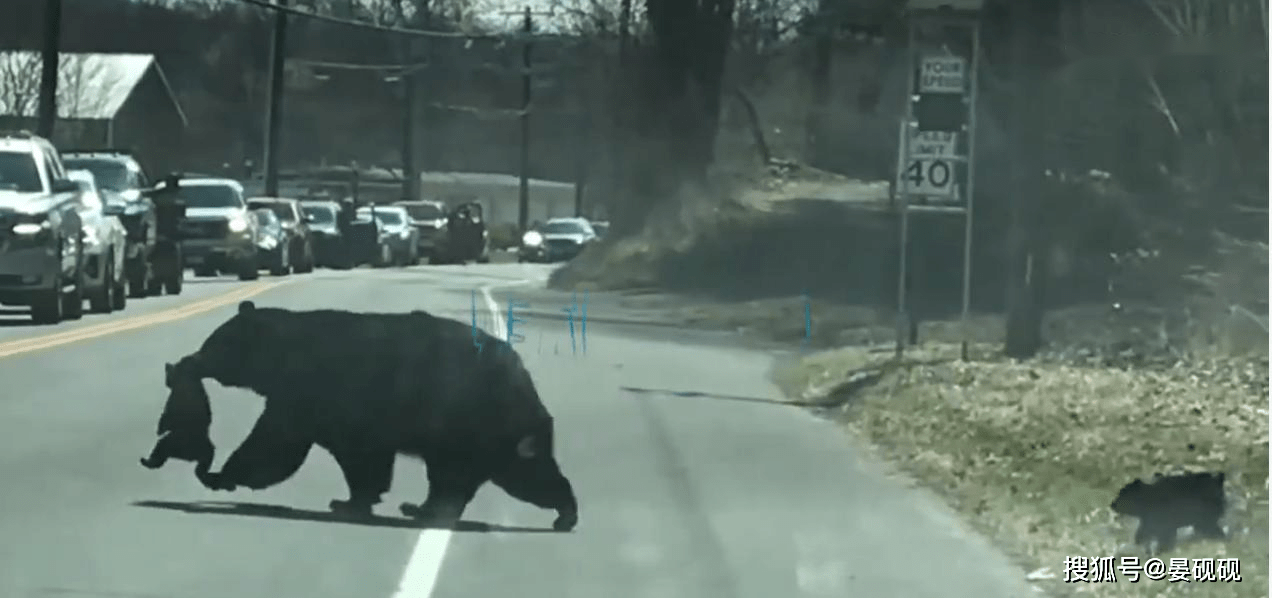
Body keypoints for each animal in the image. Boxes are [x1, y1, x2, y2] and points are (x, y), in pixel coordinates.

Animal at [176, 301, 580, 529]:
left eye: (213, 343)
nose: (190, 360)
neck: (284, 356)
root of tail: (524, 376)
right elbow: (356, 458)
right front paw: (355, 501)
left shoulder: (316, 393)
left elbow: (278, 444)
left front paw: (219, 475)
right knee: (462, 476)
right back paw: (421, 508)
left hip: (482, 422)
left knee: (517, 472)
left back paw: (565, 513)